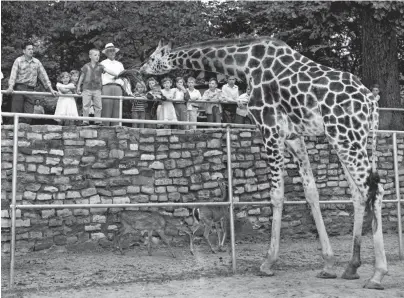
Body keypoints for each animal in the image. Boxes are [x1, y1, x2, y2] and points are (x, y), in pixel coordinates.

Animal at [139, 36, 388, 288]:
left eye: (151, 57)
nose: (141, 70)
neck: (245, 64)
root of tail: (371, 102)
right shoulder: (293, 136)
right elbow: (311, 193)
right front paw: (327, 264)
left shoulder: (269, 129)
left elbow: (276, 195)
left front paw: (268, 263)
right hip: (352, 139)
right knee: (359, 192)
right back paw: (352, 267)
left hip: (345, 136)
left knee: (375, 189)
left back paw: (377, 274)